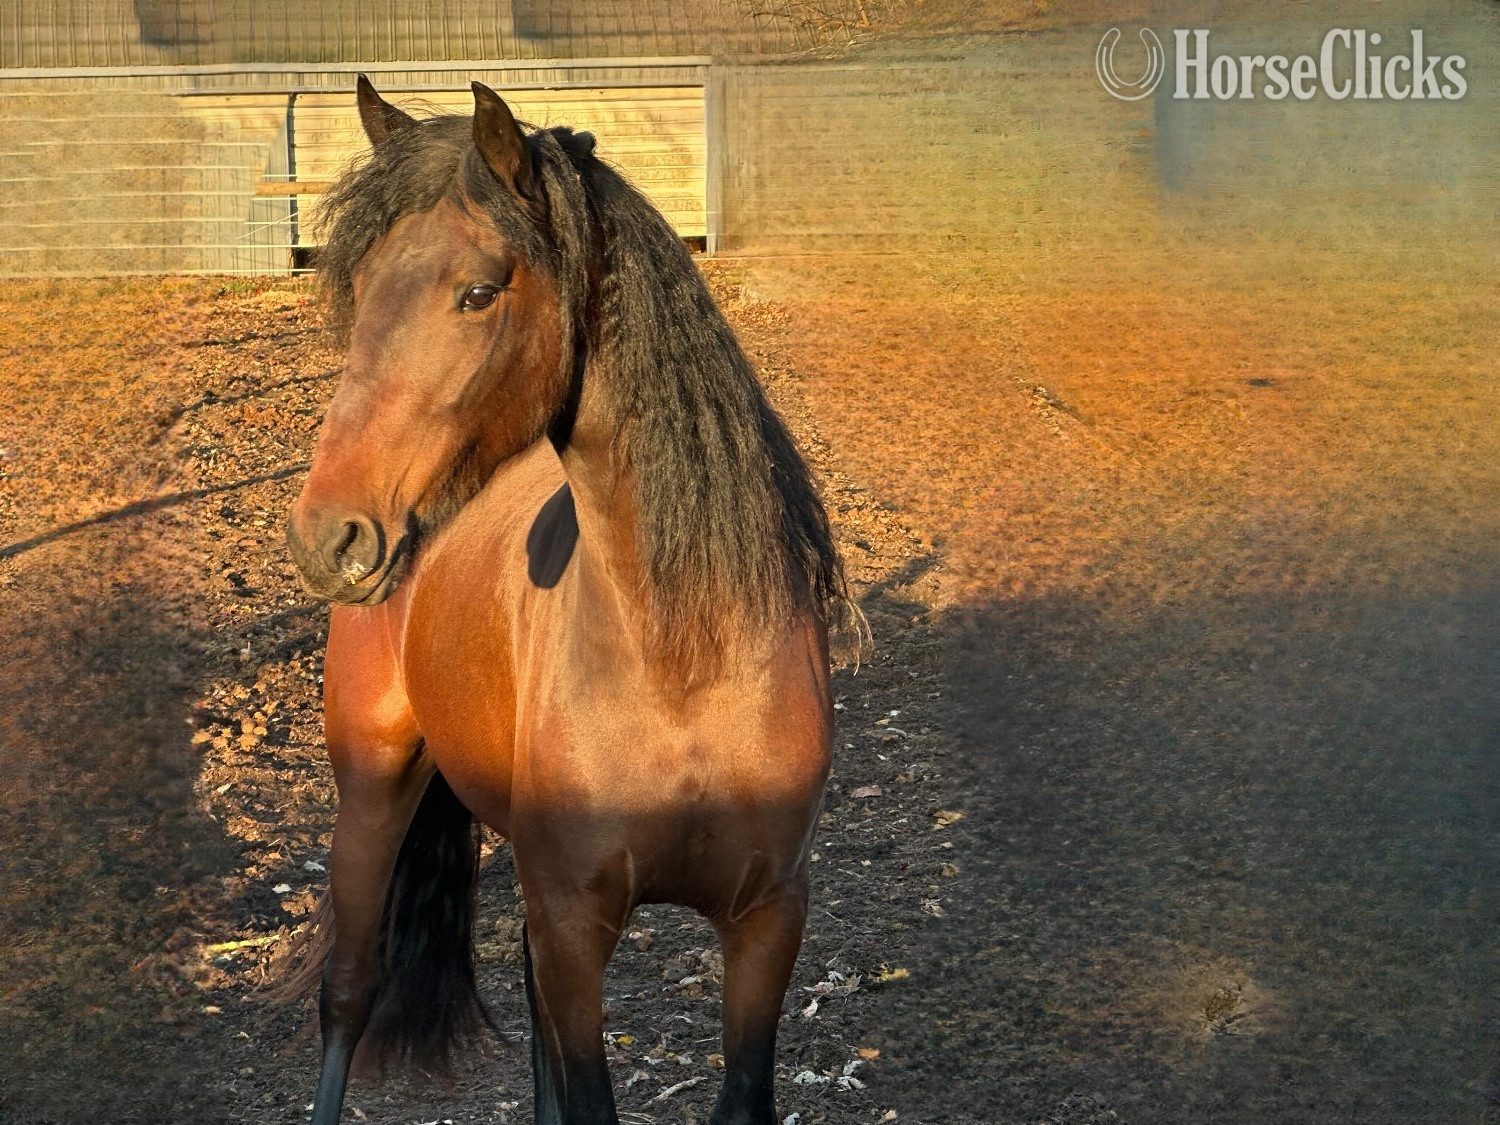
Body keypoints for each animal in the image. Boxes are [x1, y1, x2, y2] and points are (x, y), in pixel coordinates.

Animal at [281, 76, 851, 1125]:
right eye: (363, 291)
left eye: (478, 291)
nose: (328, 535)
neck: (682, 661)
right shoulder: (575, 924)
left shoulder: (766, 921)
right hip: (372, 791)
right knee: (349, 993)